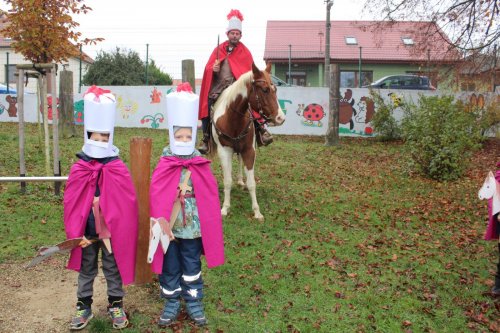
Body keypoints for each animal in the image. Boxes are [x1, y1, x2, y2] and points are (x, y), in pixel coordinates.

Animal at [210, 63, 286, 219]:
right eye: (265, 89)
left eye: (275, 89)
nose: (281, 118)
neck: (232, 119)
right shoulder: (224, 151)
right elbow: (227, 181)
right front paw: (225, 208)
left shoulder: (249, 150)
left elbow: (251, 183)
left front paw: (257, 212)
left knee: (239, 160)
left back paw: (240, 180)